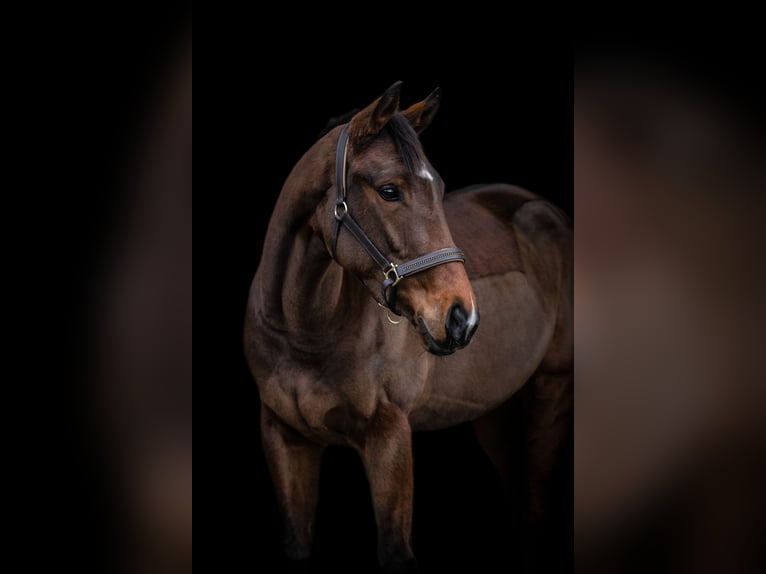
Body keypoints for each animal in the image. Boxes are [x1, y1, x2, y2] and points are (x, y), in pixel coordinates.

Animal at [243, 82, 572, 574]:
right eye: (389, 190)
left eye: (439, 187)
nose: (461, 318)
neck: (303, 333)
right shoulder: (284, 439)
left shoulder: (390, 437)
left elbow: (395, 550)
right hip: (495, 411)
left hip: (551, 390)